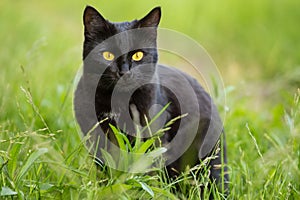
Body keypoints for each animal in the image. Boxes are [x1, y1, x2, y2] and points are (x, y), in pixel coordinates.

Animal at [74, 5, 229, 195]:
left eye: (138, 55)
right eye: (108, 55)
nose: (124, 71)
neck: (118, 102)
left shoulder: (154, 137)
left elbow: (148, 169)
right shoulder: (96, 137)